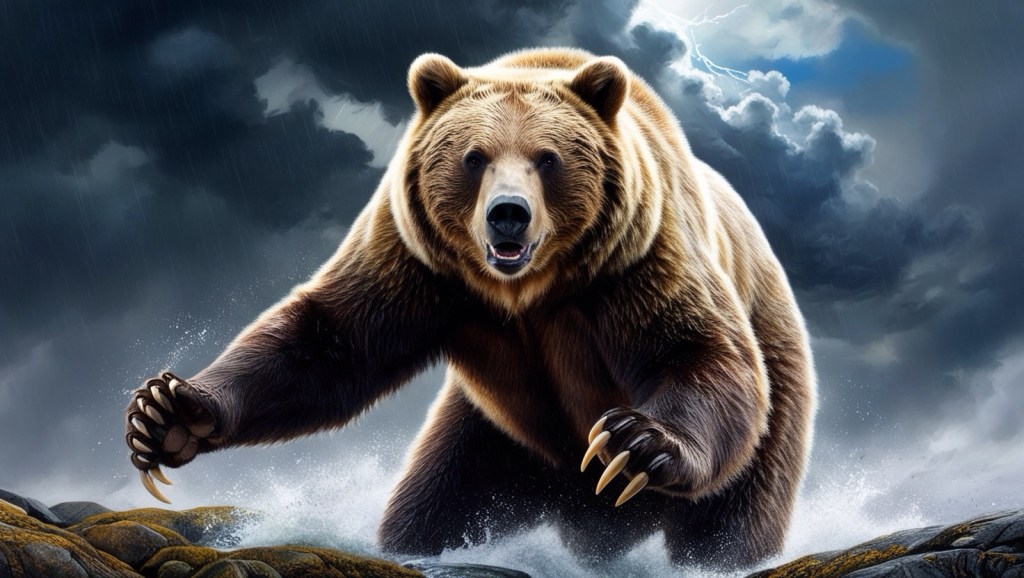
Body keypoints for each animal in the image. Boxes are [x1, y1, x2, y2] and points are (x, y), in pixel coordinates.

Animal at [124, 48, 816, 569]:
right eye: (474, 157)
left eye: (548, 159)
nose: (508, 214)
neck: (529, 290)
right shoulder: (418, 262)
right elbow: (329, 340)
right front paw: (168, 412)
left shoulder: (635, 261)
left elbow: (696, 351)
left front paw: (635, 443)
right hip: (491, 445)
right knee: (431, 505)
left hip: (774, 399)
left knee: (730, 518)